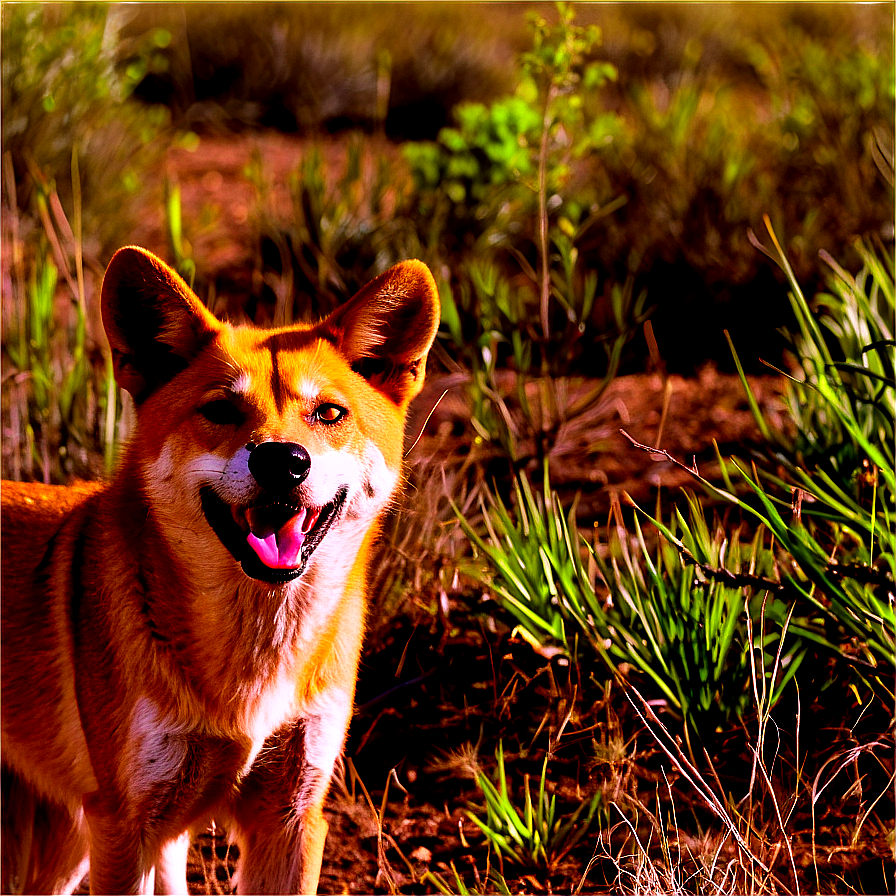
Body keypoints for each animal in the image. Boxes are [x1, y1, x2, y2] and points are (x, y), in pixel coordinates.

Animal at [0, 247, 440, 896]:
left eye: (329, 413)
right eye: (221, 410)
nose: (283, 460)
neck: (249, 676)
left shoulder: (292, 816)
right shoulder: (123, 826)